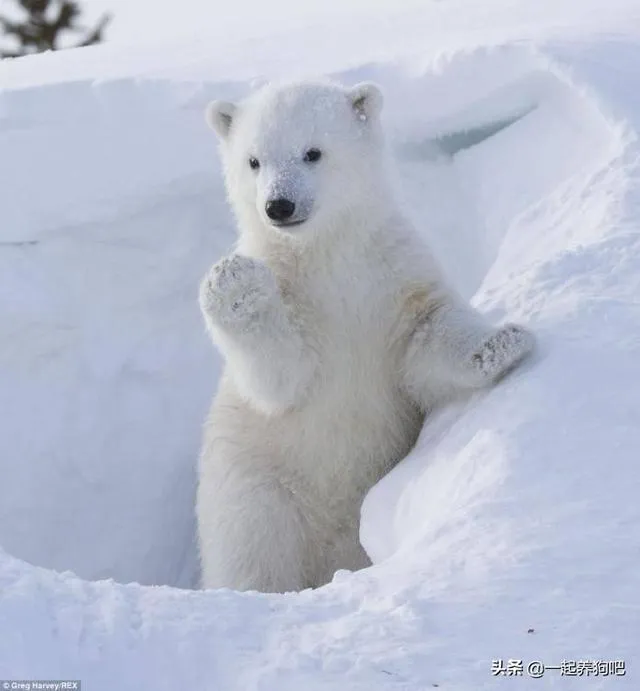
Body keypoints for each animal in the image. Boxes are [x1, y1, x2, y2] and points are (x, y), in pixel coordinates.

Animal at [196, 78, 536, 592]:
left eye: (312, 152)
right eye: (252, 161)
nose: (278, 205)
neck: (328, 256)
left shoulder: (392, 275)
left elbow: (427, 335)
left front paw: (503, 343)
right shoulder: (296, 301)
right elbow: (280, 378)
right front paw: (235, 284)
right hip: (257, 489)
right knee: (254, 556)